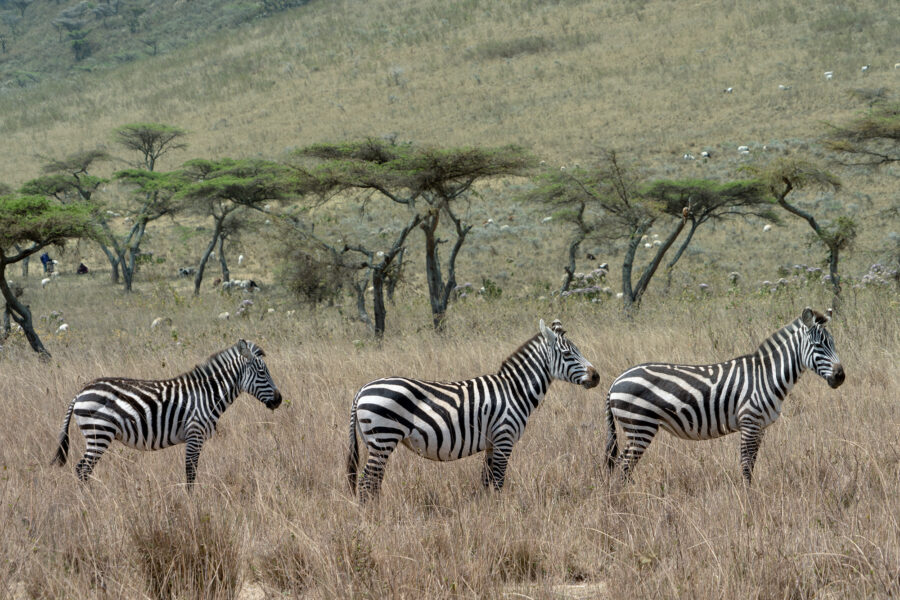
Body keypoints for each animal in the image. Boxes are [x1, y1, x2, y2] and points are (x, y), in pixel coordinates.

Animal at [51, 339, 283, 484]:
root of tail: (80, 392)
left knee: (83, 469)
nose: (279, 400)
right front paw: (192, 506)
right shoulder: (194, 435)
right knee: (82, 469)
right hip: (99, 433)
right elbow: (190, 474)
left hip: (96, 435)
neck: (208, 395)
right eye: (262, 372)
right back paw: (89, 504)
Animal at [347, 319, 600, 503]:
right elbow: (498, 481)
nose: (596, 376)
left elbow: (486, 481)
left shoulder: (491, 443)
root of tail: (362, 390)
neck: (515, 390)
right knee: (367, 482)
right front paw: (500, 513)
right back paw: (374, 515)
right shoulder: (504, 438)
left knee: (372, 481)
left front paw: (486, 510)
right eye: (568, 354)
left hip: (374, 442)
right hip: (383, 438)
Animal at [605, 307, 845, 485]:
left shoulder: (760, 427)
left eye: (833, 343)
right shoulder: (749, 422)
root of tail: (615, 382)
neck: (767, 376)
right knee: (623, 466)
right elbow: (746, 465)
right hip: (640, 426)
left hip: (636, 428)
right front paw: (749, 499)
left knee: (620, 464)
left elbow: (752, 463)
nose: (840, 376)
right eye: (818, 345)